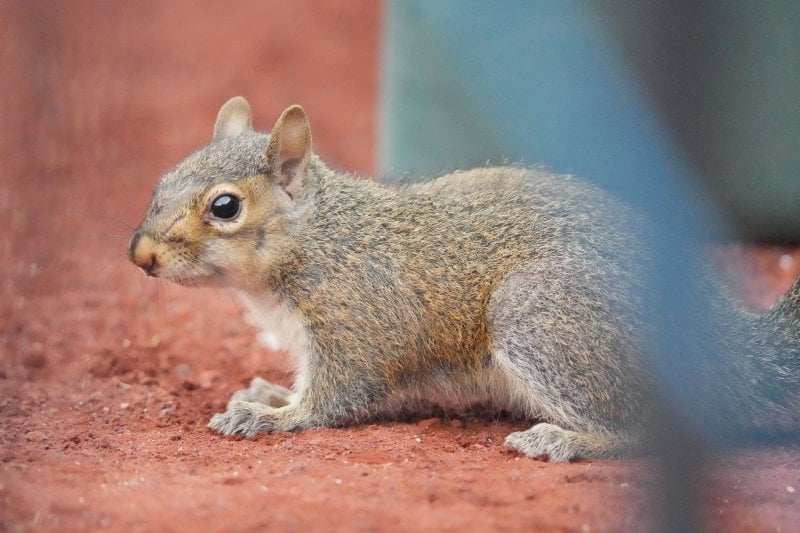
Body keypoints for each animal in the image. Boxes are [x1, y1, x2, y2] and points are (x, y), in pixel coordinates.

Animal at [128, 96, 800, 461]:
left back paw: (568, 441)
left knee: (659, 433)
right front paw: (268, 393)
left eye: (225, 207)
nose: (140, 255)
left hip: (540, 317)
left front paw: (271, 418)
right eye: (163, 178)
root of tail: (736, 351)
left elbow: (334, 400)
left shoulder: (359, 325)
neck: (321, 240)